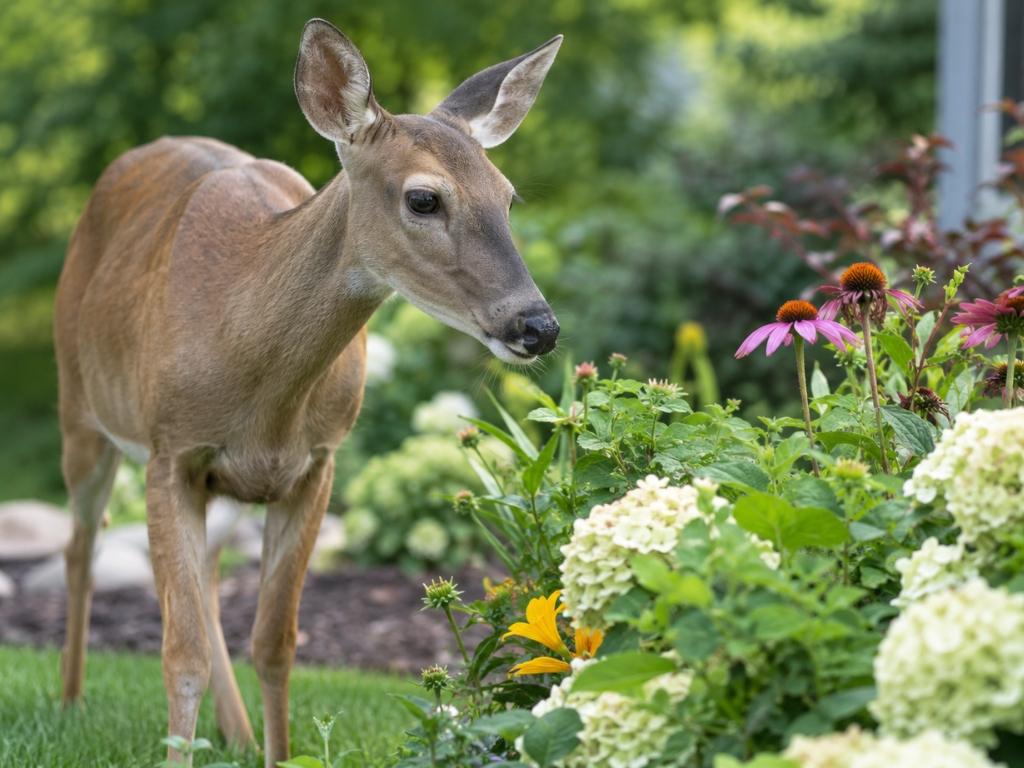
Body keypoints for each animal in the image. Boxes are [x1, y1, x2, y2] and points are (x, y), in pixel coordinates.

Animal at [53, 18, 562, 766]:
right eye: (423, 198)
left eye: (509, 196)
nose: (537, 326)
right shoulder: (170, 449)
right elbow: (179, 654)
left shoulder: (317, 461)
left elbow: (275, 642)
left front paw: (274, 749)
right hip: (81, 409)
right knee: (82, 548)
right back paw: (71, 701)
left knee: (208, 577)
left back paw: (233, 733)